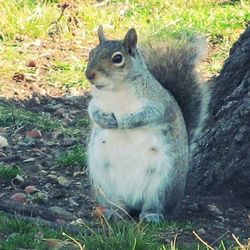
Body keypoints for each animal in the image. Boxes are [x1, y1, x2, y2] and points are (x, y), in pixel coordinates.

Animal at [85, 25, 210, 222]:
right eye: (91, 53)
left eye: (117, 58)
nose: (89, 74)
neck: (116, 90)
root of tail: (134, 202)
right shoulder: (96, 102)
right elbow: (92, 112)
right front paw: (106, 121)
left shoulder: (160, 104)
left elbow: (151, 114)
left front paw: (127, 121)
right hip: (103, 184)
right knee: (121, 207)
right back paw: (115, 212)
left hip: (164, 183)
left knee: (157, 205)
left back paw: (151, 216)